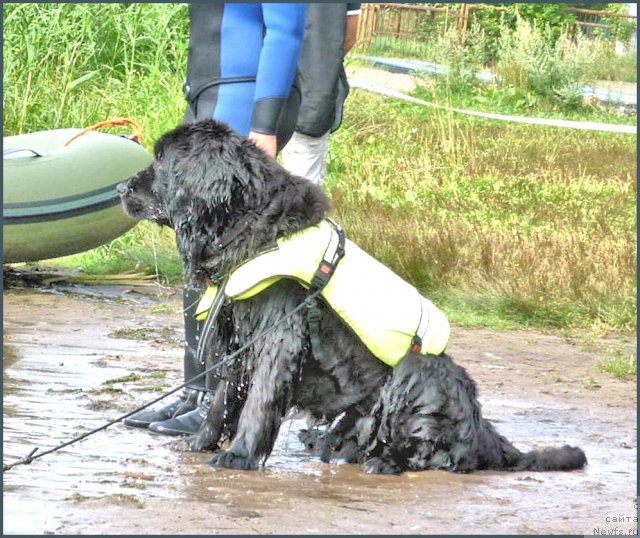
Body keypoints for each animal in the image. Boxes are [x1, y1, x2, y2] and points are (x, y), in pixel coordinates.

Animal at [117, 120, 588, 474]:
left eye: (162, 161)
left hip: (423, 370)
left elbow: (258, 400)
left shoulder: (279, 332)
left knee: (443, 455)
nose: (121, 188)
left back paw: (385, 463)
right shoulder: (238, 332)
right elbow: (222, 397)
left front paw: (238, 456)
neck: (248, 225)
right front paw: (200, 442)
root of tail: (481, 427)